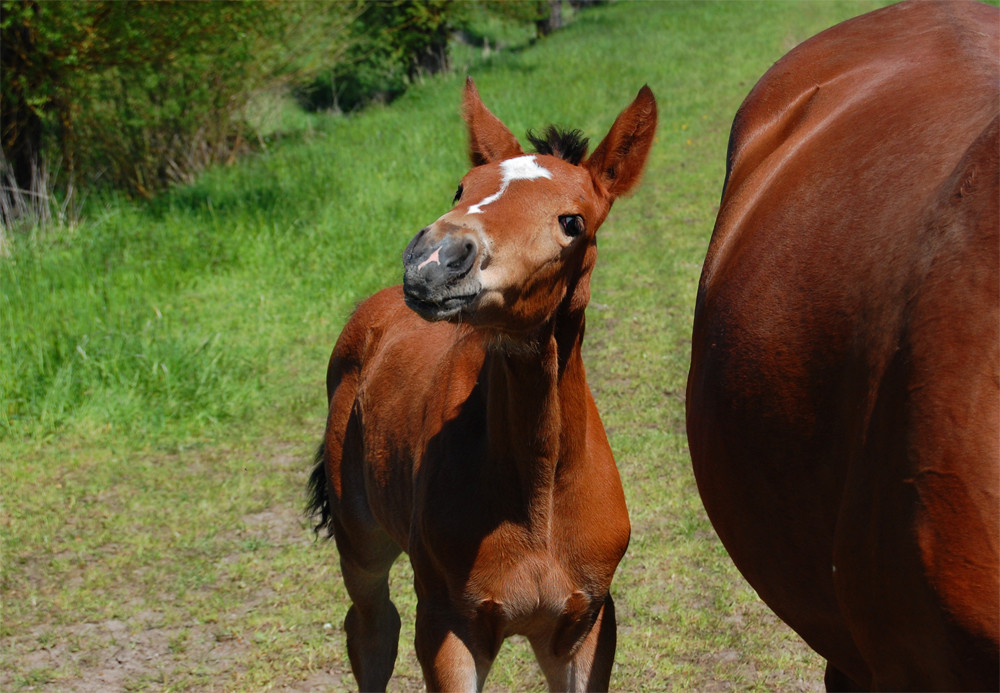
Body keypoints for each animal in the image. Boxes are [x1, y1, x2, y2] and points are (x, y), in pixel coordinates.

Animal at [310, 78, 656, 688]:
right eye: (461, 188)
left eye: (573, 222)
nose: (434, 259)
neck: (537, 502)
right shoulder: (449, 626)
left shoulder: (586, 624)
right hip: (361, 545)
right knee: (371, 630)